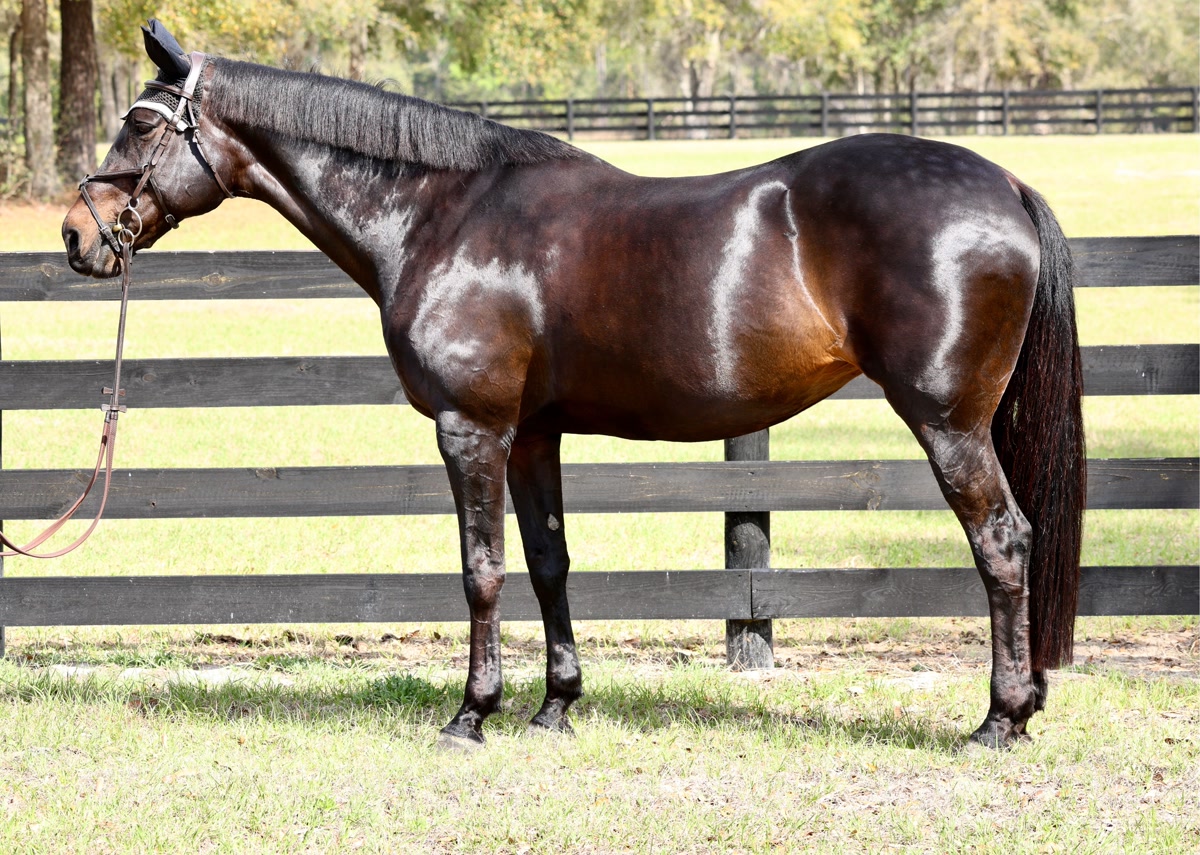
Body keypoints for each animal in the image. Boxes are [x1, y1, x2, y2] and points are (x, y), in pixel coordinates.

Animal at [63, 21, 1085, 749]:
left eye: (142, 122)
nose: (78, 234)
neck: (442, 216)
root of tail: (1005, 184)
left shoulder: (469, 426)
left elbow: (480, 569)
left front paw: (471, 713)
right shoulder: (532, 434)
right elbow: (548, 559)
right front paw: (555, 704)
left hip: (949, 423)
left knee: (1002, 542)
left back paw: (999, 718)